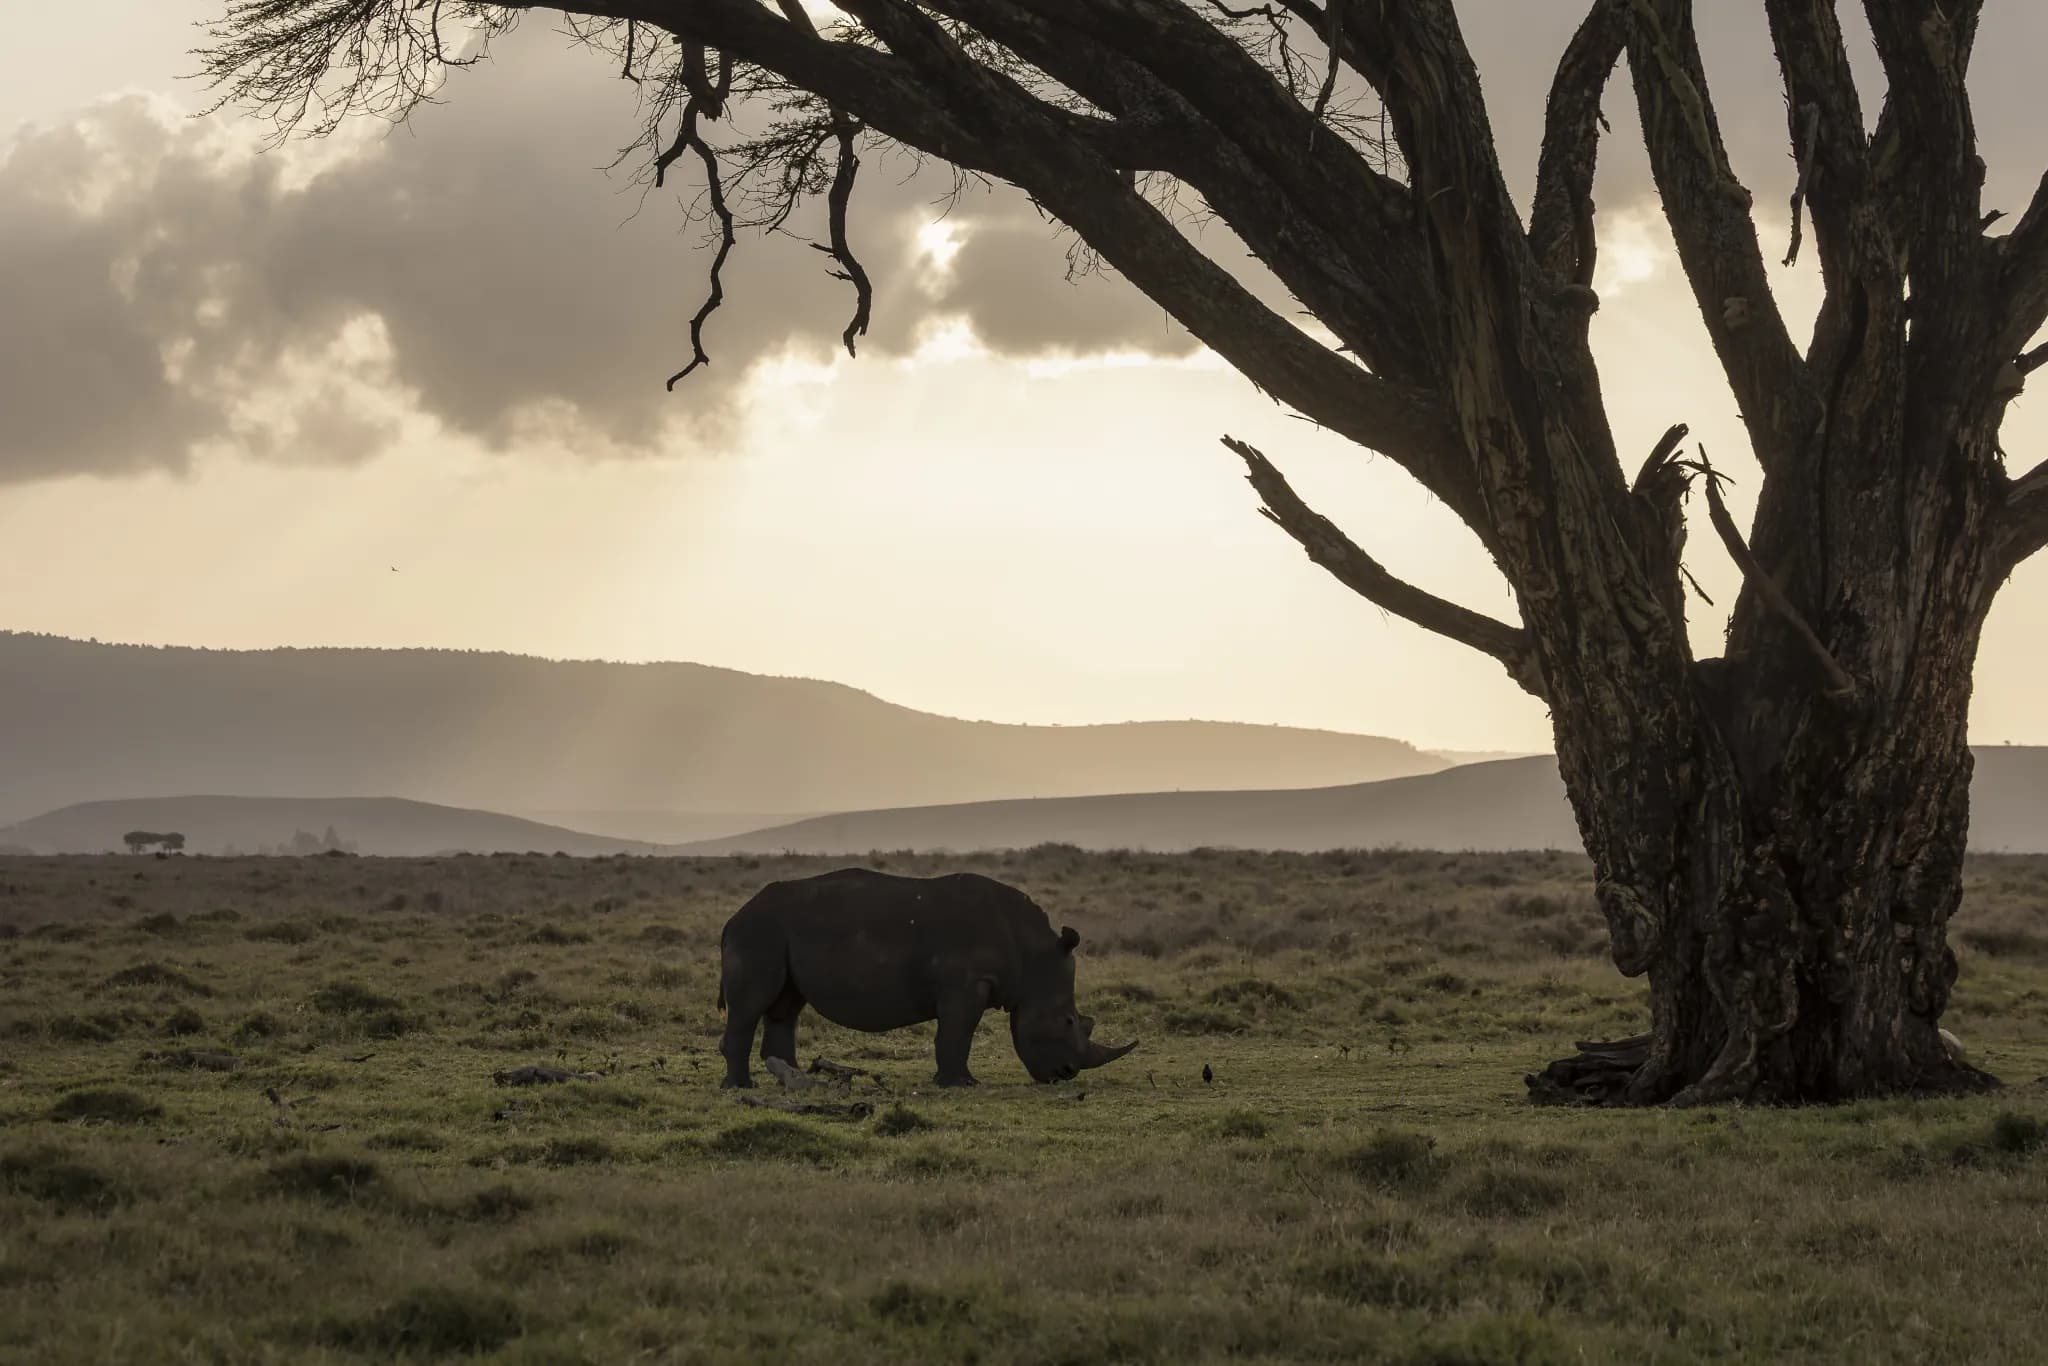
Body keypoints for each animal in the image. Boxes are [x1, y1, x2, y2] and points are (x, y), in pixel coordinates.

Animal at [715, 868, 1139, 1087]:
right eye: (1067, 1021)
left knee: (786, 1005)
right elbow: (957, 1032)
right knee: (752, 1005)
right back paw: (742, 1087)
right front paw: (961, 1085)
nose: (1064, 1075)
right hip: (760, 932)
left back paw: (792, 1077)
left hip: (778, 934)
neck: (1032, 957)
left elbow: (955, 1032)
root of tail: (732, 917)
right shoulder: (968, 982)